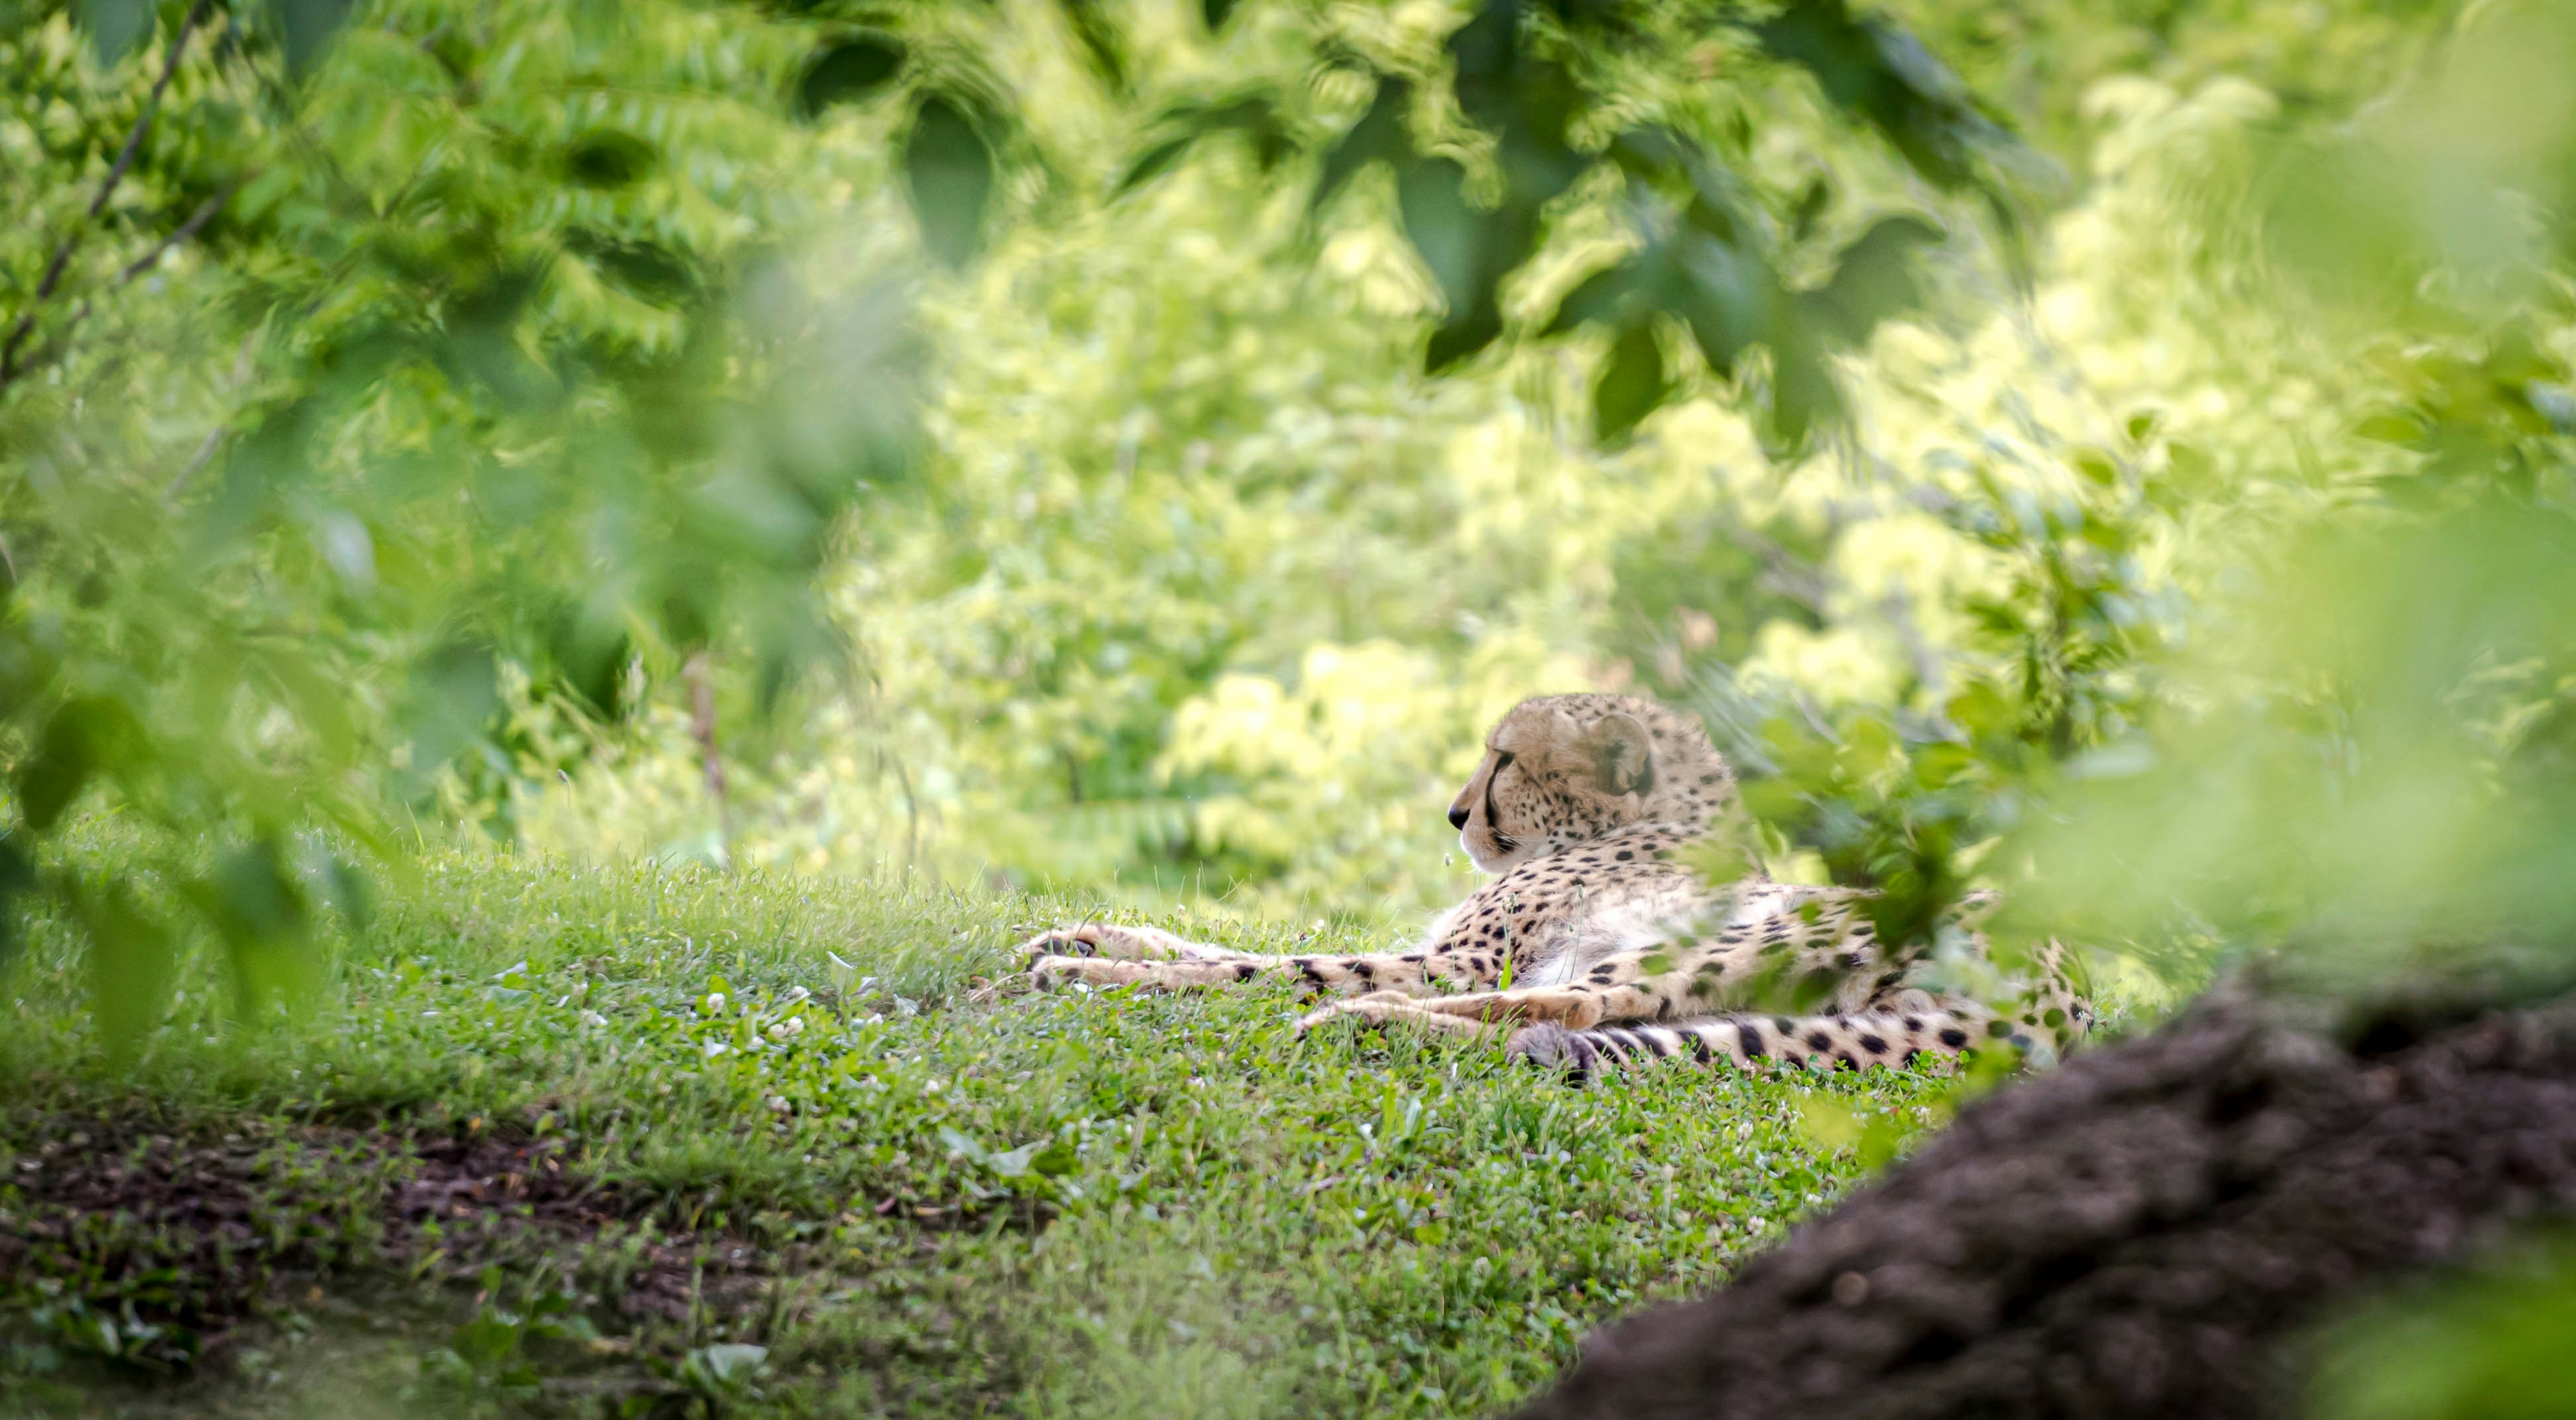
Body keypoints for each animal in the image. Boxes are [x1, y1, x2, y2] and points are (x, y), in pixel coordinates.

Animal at [1019, 692, 2091, 1081]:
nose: (1454, 815)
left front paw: (1089, 972)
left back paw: (1353, 1024)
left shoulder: (1453, 961)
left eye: (1503, 759)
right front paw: (1088, 938)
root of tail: (2062, 1002)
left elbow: (1271, 966)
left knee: (1565, 1006)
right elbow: (1227, 946)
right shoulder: (1442, 950)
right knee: (1581, 1019)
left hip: (1733, 936)